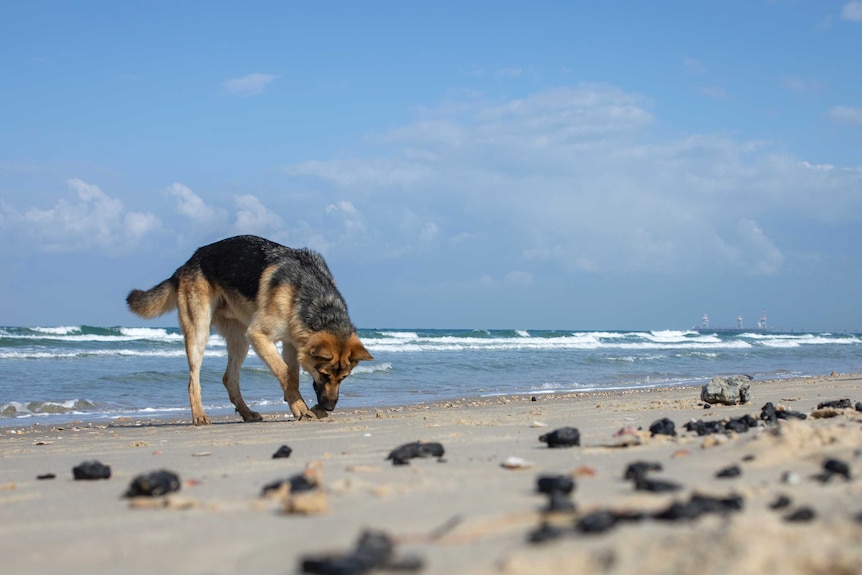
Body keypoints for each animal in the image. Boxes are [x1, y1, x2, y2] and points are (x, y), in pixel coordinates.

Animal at [126, 235, 372, 428]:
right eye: (324, 374)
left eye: (344, 377)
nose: (329, 407)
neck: (317, 301)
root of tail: (189, 262)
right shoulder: (259, 335)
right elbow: (286, 373)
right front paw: (300, 407)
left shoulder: (292, 343)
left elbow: (291, 374)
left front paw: (296, 403)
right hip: (200, 331)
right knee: (193, 380)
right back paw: (199, 415)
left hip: (239, 340)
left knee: (229, 379)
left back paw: (246, 413)